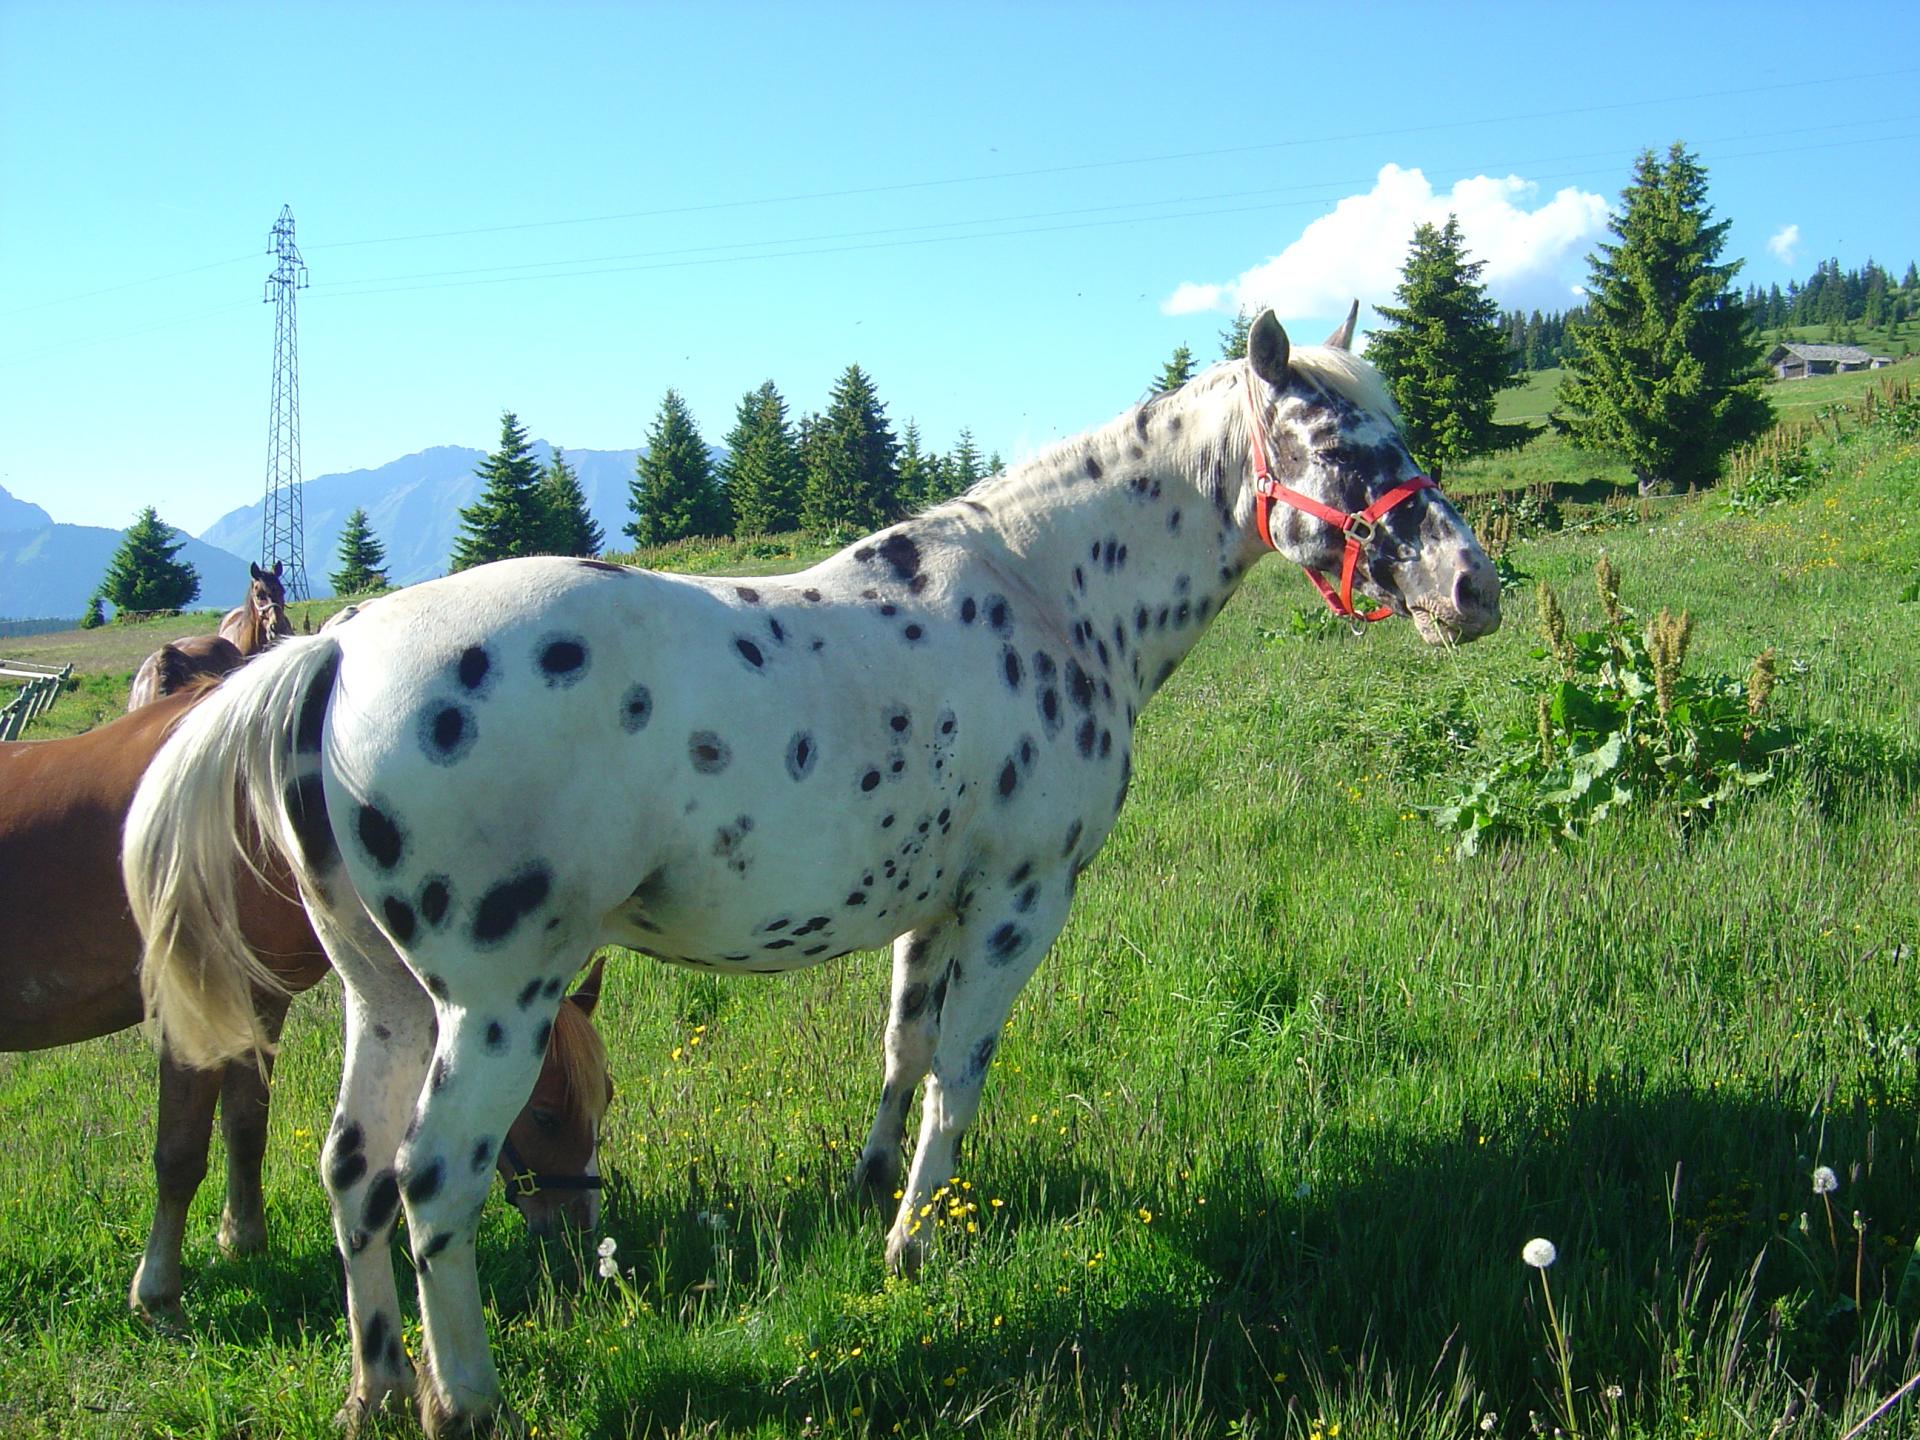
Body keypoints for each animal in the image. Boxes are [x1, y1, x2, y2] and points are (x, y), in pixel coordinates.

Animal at [0, 683, 614, 1328]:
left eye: (605, 1095)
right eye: (543, 1113)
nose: (580, 1231)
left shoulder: (260, 1004)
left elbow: (246, 1127)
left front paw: (242, 1240)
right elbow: (180, 1154)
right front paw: (158, 1292)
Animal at [123, 311, 1497, 1436]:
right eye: (1343, 450)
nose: (1473, 587)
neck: (1045, 592)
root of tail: (336, 654)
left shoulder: (934, 910)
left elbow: (903, 1051)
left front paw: (874, 1198)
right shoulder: (1020, 902)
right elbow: (958, 1074)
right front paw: (913, 1249)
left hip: (388, 999)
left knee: (352, 1172)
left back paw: (374, 1389)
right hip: (493, 1006)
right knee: (431, 1180)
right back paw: (463, 1400)